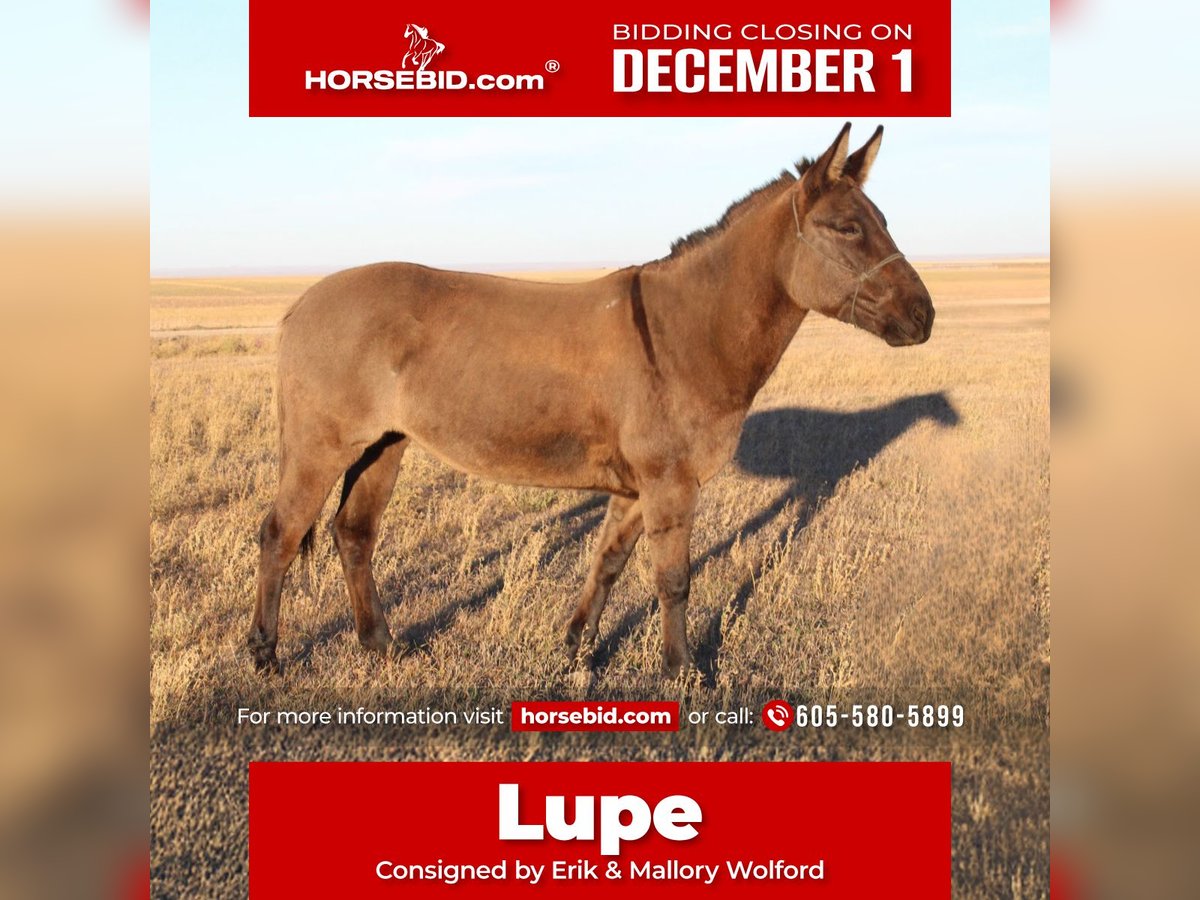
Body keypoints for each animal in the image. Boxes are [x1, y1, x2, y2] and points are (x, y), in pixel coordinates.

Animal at [247, 123, 936, 677]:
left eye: (884, 222)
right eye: (847, 228)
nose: (924, 316)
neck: (686, 332)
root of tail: (302, 302)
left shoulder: (636, 487)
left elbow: (607, 563)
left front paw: (576, 649)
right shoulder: (670, 483)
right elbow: (673, 580)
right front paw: (683, 672)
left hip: (383, 445)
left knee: (353, 534)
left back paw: (381, 646)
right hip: (321, 445)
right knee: (280, 533)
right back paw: (266, 656)